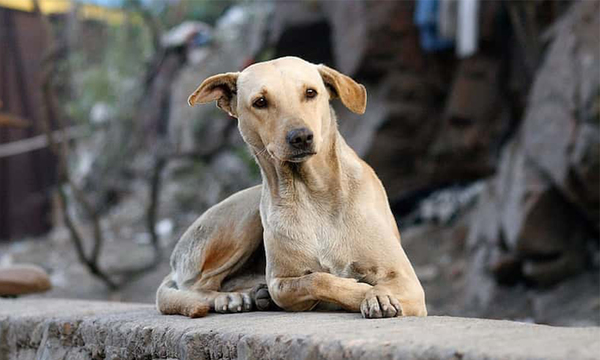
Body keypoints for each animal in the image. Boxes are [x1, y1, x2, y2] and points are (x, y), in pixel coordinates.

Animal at [155, 57, 426, 320]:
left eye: (310, 92)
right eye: (260, 102)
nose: (301, 137)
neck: (312, 193)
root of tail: (173, 262)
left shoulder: (407, 281)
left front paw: (377, 295)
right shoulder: (281, 282)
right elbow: (315, 280)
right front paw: (364, 292)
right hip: (243, 220)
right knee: (198, 285)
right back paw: (233, 297)